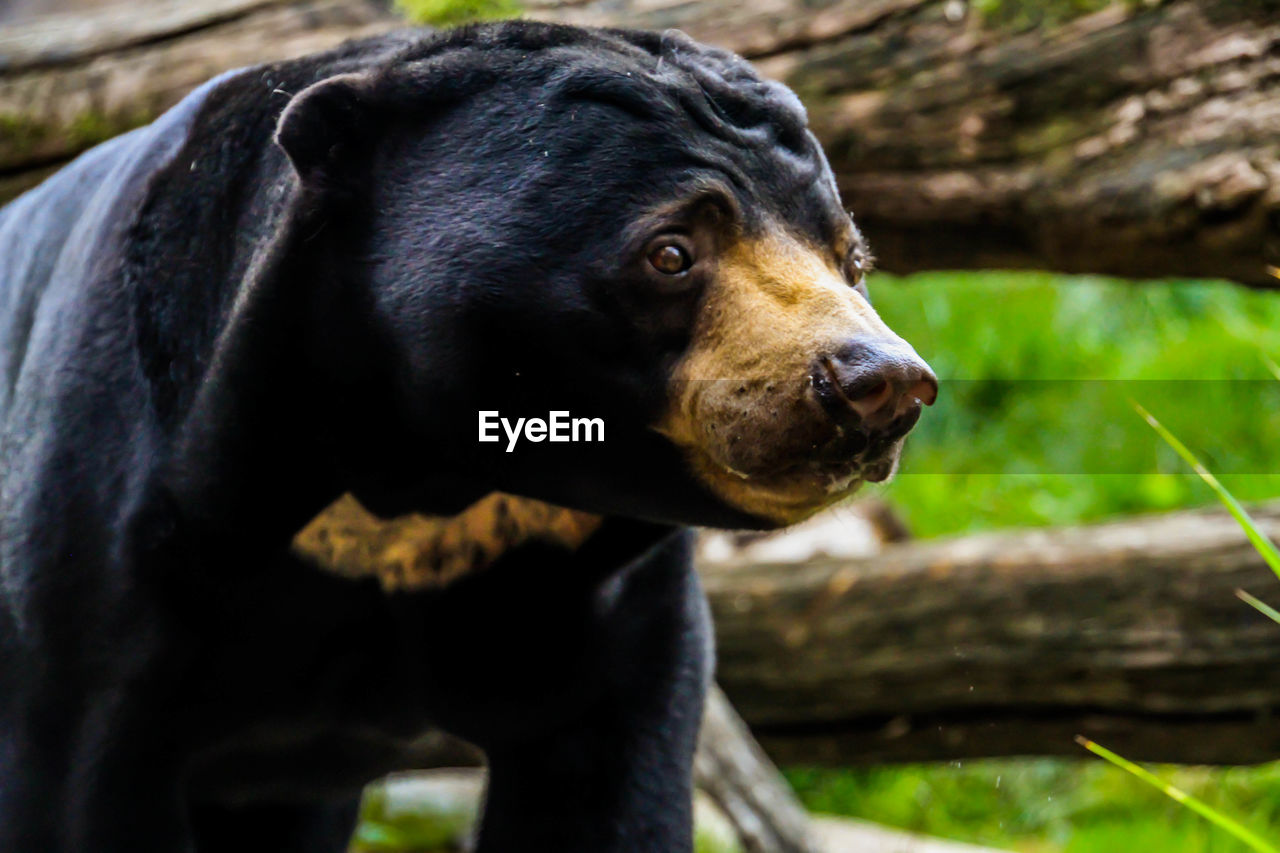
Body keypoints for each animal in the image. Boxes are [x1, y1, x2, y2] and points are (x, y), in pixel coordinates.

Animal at [2, 19, 942, 850]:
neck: (422, 477)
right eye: (671, 252)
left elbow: (607, 798)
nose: (879, 384)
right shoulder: (122, 547)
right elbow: (78, 781)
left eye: (851, 258)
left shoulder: (612, 604)